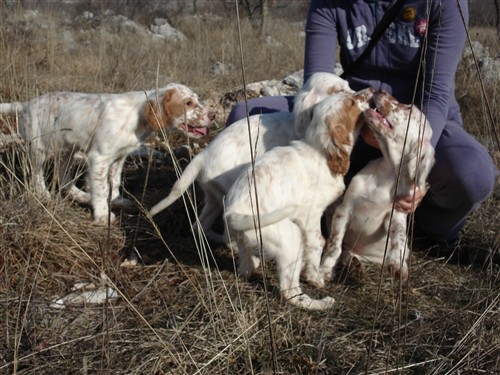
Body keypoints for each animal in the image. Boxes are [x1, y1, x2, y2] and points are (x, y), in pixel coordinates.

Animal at [0, 83, 213, 222]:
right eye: (188, 103)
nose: (212, 115)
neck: (137, 117)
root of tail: (25, 104)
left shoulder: (119, 157)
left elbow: (114, 182)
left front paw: (115, 200)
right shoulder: (99, 158)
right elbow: (102, 188)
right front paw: (102, 214)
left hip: (67, 150)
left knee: (64, 179)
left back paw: (83, 196)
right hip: (39, 149)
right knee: (36, 176)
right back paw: (44, 195)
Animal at [149, 72, 356, 244]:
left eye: (348, 85)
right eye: (338, 90)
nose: (361, 95)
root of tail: (203, 154)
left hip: (214, 198)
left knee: (199, 226)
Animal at [320, 91, 434, 284]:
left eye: (408, 108)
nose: (381, 91)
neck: (388, 172)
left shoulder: (396, 215)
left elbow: (399, 236)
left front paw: (396, 265)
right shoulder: (344, 210)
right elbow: (334, 245)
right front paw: (324, 270)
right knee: (345, 252)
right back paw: (354, 264)